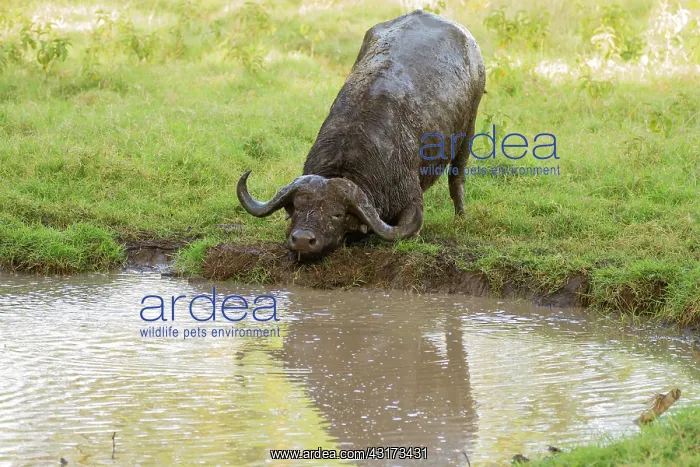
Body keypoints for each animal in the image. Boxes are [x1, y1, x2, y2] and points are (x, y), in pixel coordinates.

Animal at [237, 9, 485, 257]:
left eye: (337, 214)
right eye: (298, 207)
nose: (303, 240)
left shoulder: (411, 198)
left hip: (469, 129)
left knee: (457, 176)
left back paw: (461, 216)